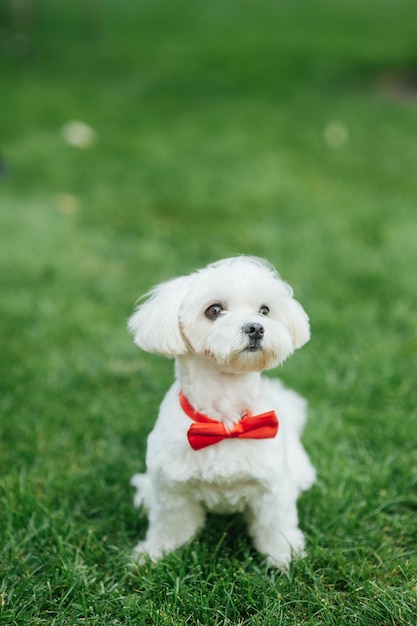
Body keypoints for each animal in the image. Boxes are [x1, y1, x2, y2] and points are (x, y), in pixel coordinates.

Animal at [128, 256, 314, 568]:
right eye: (214, 310)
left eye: (264, 310)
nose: (256, 328)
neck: (225, 421)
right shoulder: (172, 490)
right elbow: (170, 527)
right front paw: (155, 554)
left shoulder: (272, 488)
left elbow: (275, 526)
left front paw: (284, 556)